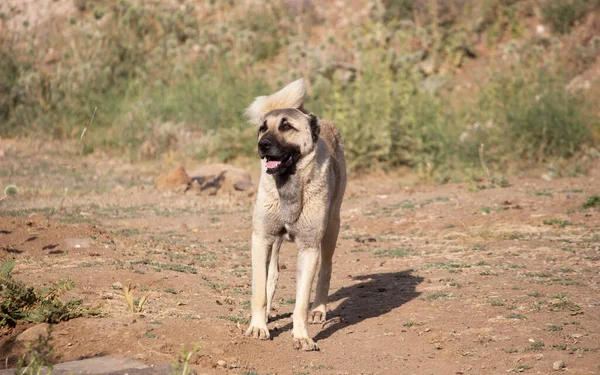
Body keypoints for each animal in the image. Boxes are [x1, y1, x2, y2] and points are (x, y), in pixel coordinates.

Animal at [244, 79, 346, 352]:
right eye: (262, 128)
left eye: (286, 126)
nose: (262, 145)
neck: (288, 185)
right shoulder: (261, 238)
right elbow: (259, 289)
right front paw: (258, 326)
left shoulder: (309, 248)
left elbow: (301, 302)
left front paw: (302, 336)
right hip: (274, 241)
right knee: (271, 274)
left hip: (331, 228)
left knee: (326, 269)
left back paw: (319, 309)